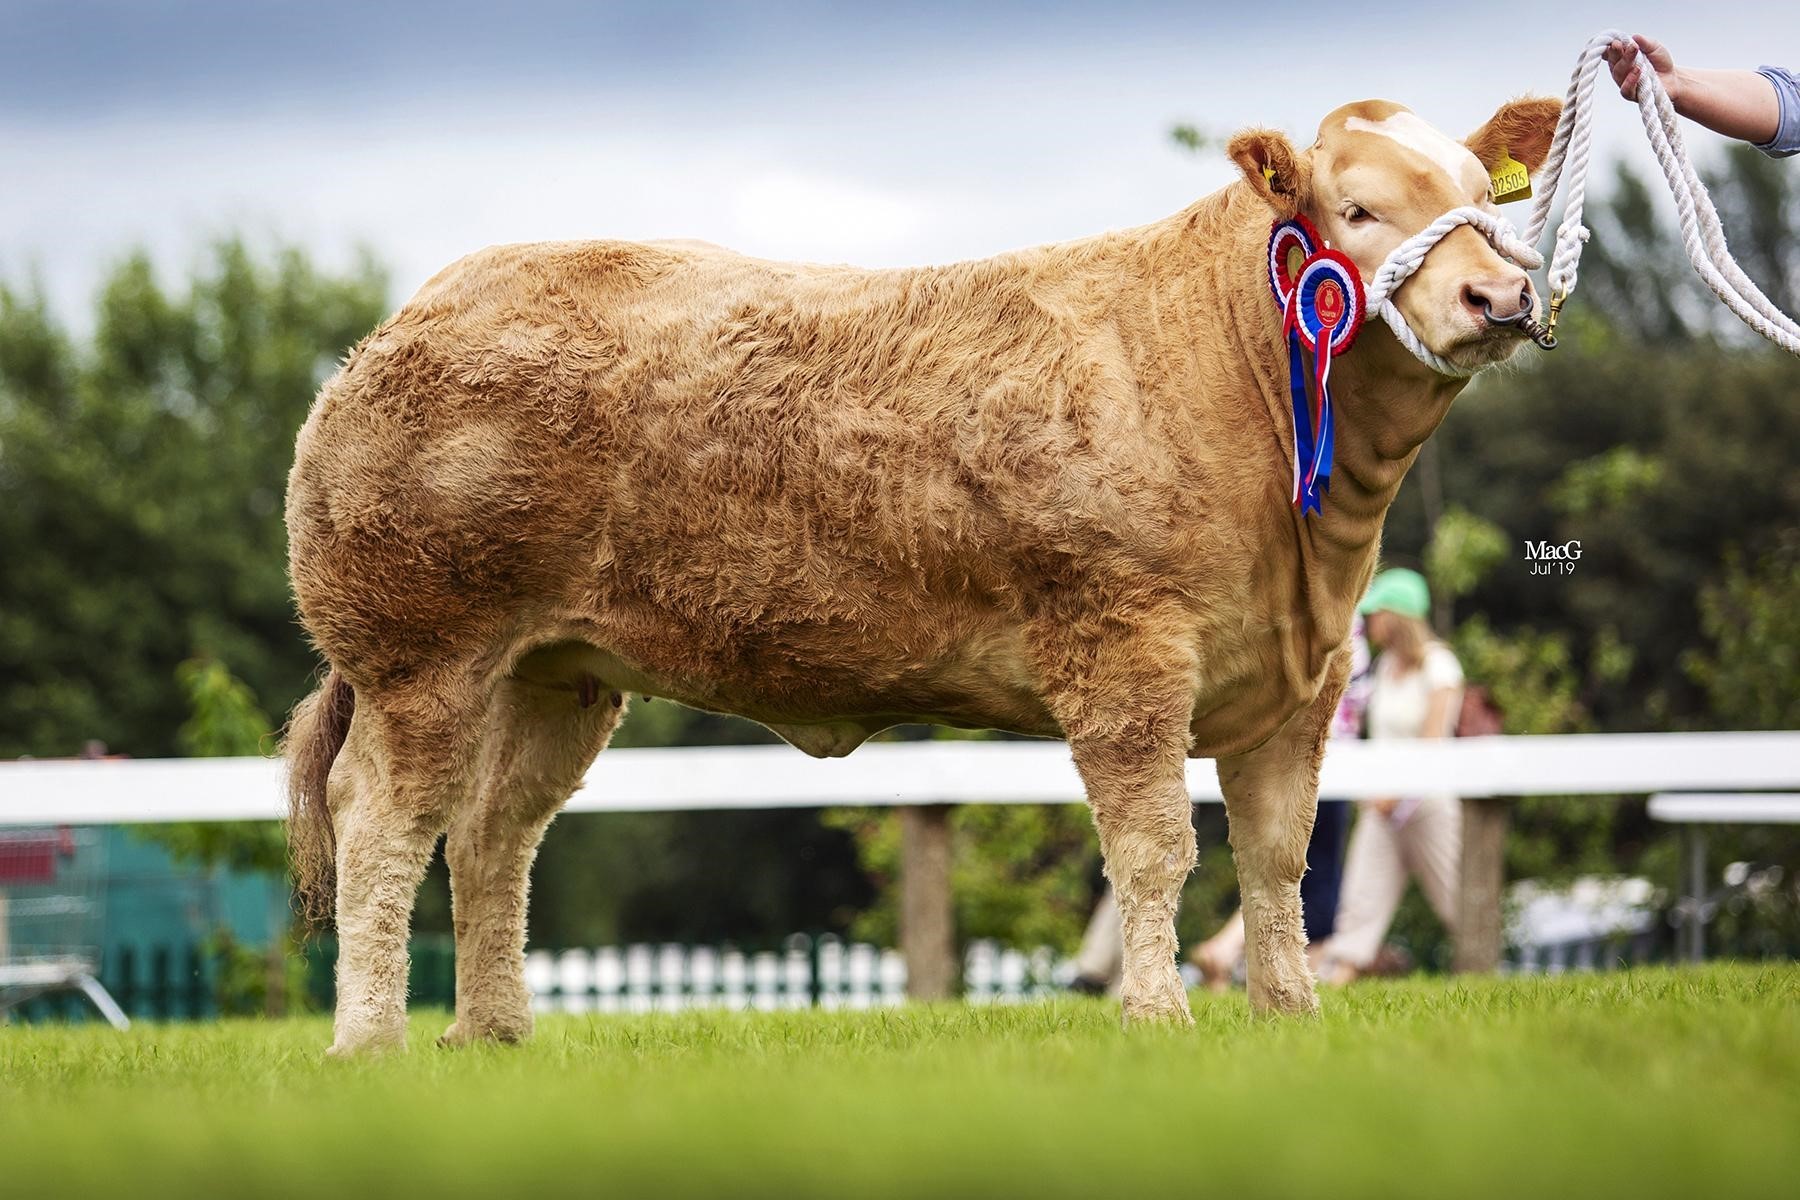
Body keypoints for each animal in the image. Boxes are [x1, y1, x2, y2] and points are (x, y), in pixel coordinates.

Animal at [284, 91, 1562, 1050]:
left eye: (1480, 197)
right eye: (1357, 208)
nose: (1500, 294)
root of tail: (412, 316)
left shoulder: (1304, 680)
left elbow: (1279, 858)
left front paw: (1289, 1015)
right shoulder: (1124, 650)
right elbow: (1156, 847)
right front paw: (1158, 1019)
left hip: (555, 672)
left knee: (493, 832)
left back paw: (492, 1034)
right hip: (423, 653)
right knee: (382, 820)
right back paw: (372, 1041)